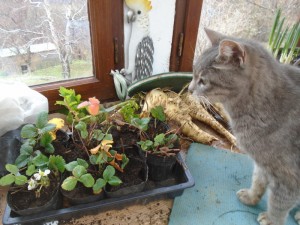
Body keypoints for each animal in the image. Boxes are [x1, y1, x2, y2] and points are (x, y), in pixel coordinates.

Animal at [189, 28, 300, 225]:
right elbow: (258, 181)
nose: (188, 89)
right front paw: (251, 197)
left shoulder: (289, 178)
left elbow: (278, 204)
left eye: (203, 81)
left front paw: (271, 219)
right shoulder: (263, 162)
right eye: (193, 74)